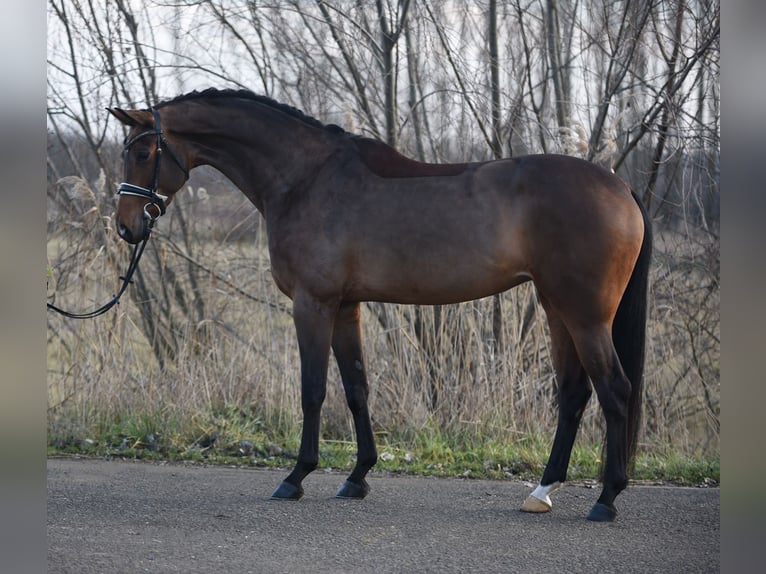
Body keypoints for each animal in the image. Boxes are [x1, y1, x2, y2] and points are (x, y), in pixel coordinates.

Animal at [109, 88, 656, 524]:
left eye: (143, 150)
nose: (126, 227)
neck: (306, 179)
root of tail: (620, 186)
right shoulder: (346, 307)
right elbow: (356, 389)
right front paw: (357, 477)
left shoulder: (313, 304)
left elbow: (313, 390)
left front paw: (296, 476)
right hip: (557, 309)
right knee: (573, 394)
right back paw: (542, 491)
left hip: (586, 316)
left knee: (614, 390)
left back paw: (606, 499)